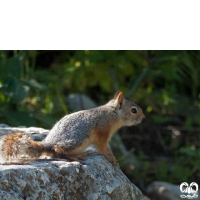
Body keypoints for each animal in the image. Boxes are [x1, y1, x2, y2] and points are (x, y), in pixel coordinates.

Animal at [0, 91, 144, 166]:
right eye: (134, 110)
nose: (143, 117)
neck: (113, 113)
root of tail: (48, 143)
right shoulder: (103, 129)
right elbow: (103, 147)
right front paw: (111, 158)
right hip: (80, 139)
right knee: (57, 150)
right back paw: (75, 157)